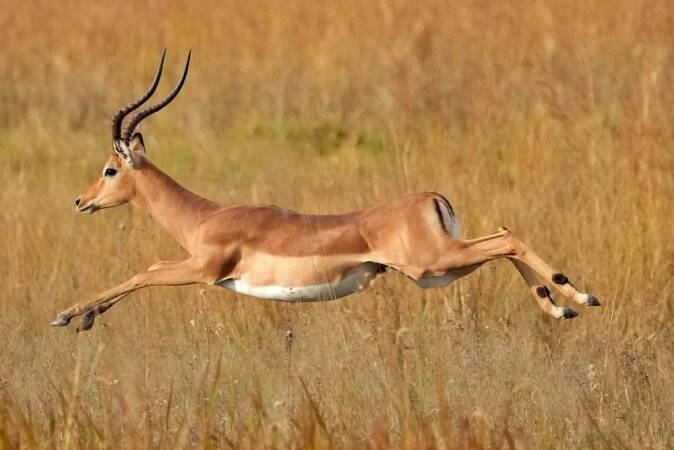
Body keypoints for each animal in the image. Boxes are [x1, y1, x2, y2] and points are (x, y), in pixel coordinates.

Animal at [51, 51, 600, 332]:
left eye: (108, 170)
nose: (79, 202)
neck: (203, 217)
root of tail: (431, 199)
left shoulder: (203, 269)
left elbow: (145, 270)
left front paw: (69, 315)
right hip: (438, 271)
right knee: (503, 239)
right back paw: (561, 305)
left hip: (432, 264)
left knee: (506, 238)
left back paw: (580, 294)